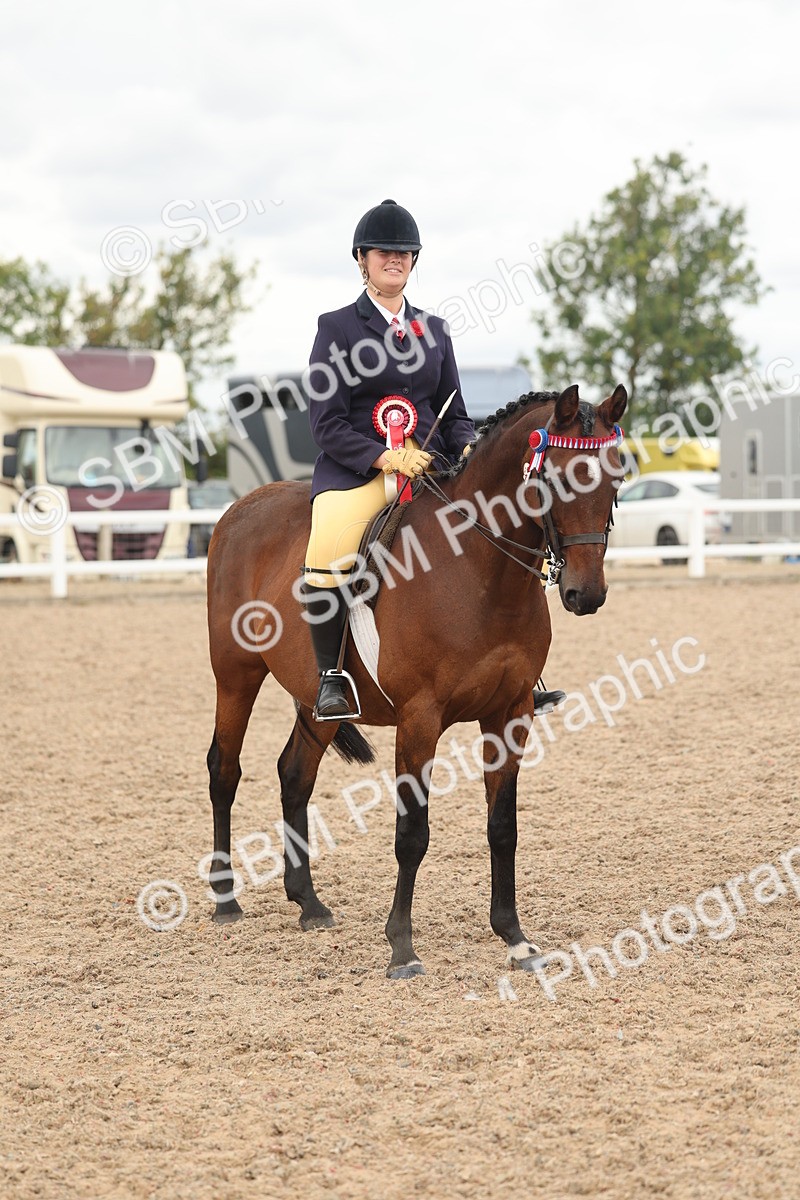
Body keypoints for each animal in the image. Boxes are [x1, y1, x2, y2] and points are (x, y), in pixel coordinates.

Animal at [205, 382, 628, 978]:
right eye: (559, 480)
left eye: (615, 480)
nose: (585, 595)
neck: (479, 571)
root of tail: (240, 508)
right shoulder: (420, 719)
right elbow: (412, 834)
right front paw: (402, 947)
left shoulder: (511, 714)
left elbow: (503, 827)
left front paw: (515, 938)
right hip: (236, 674)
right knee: (225, 770)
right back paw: (225, 899)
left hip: (318, 702)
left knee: (294, 775)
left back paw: (309, 903)